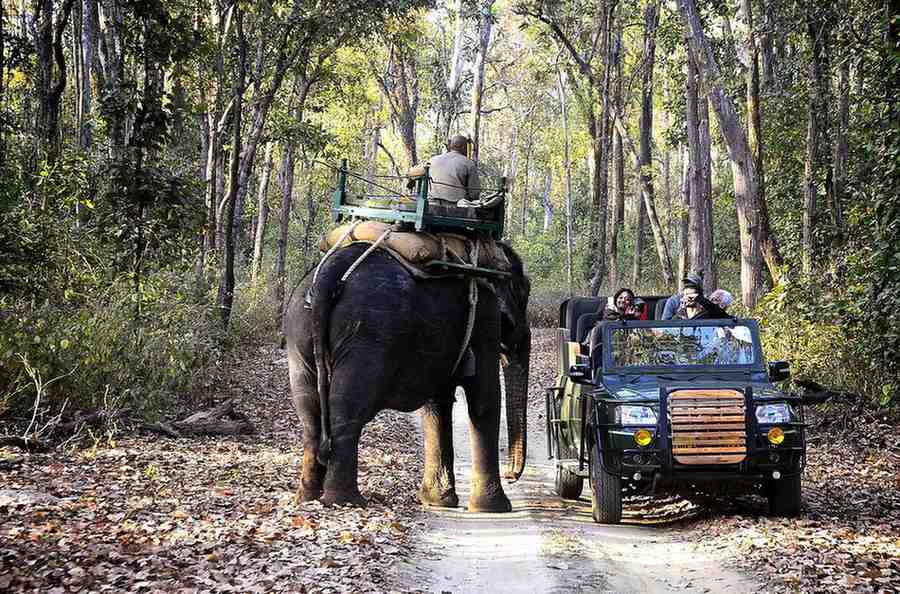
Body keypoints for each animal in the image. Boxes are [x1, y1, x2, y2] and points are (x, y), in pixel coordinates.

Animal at [284, 240, 531, 512]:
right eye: (524, 294)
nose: (512, 475)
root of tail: (330, 273)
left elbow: (437, 403)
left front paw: (437, 501)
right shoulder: (485, 315)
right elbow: (485, 398)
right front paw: (494, 508)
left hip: (299, 333)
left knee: (310, 413)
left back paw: (308, 497)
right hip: (368, 337)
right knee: (346, 409)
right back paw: (345, 501)